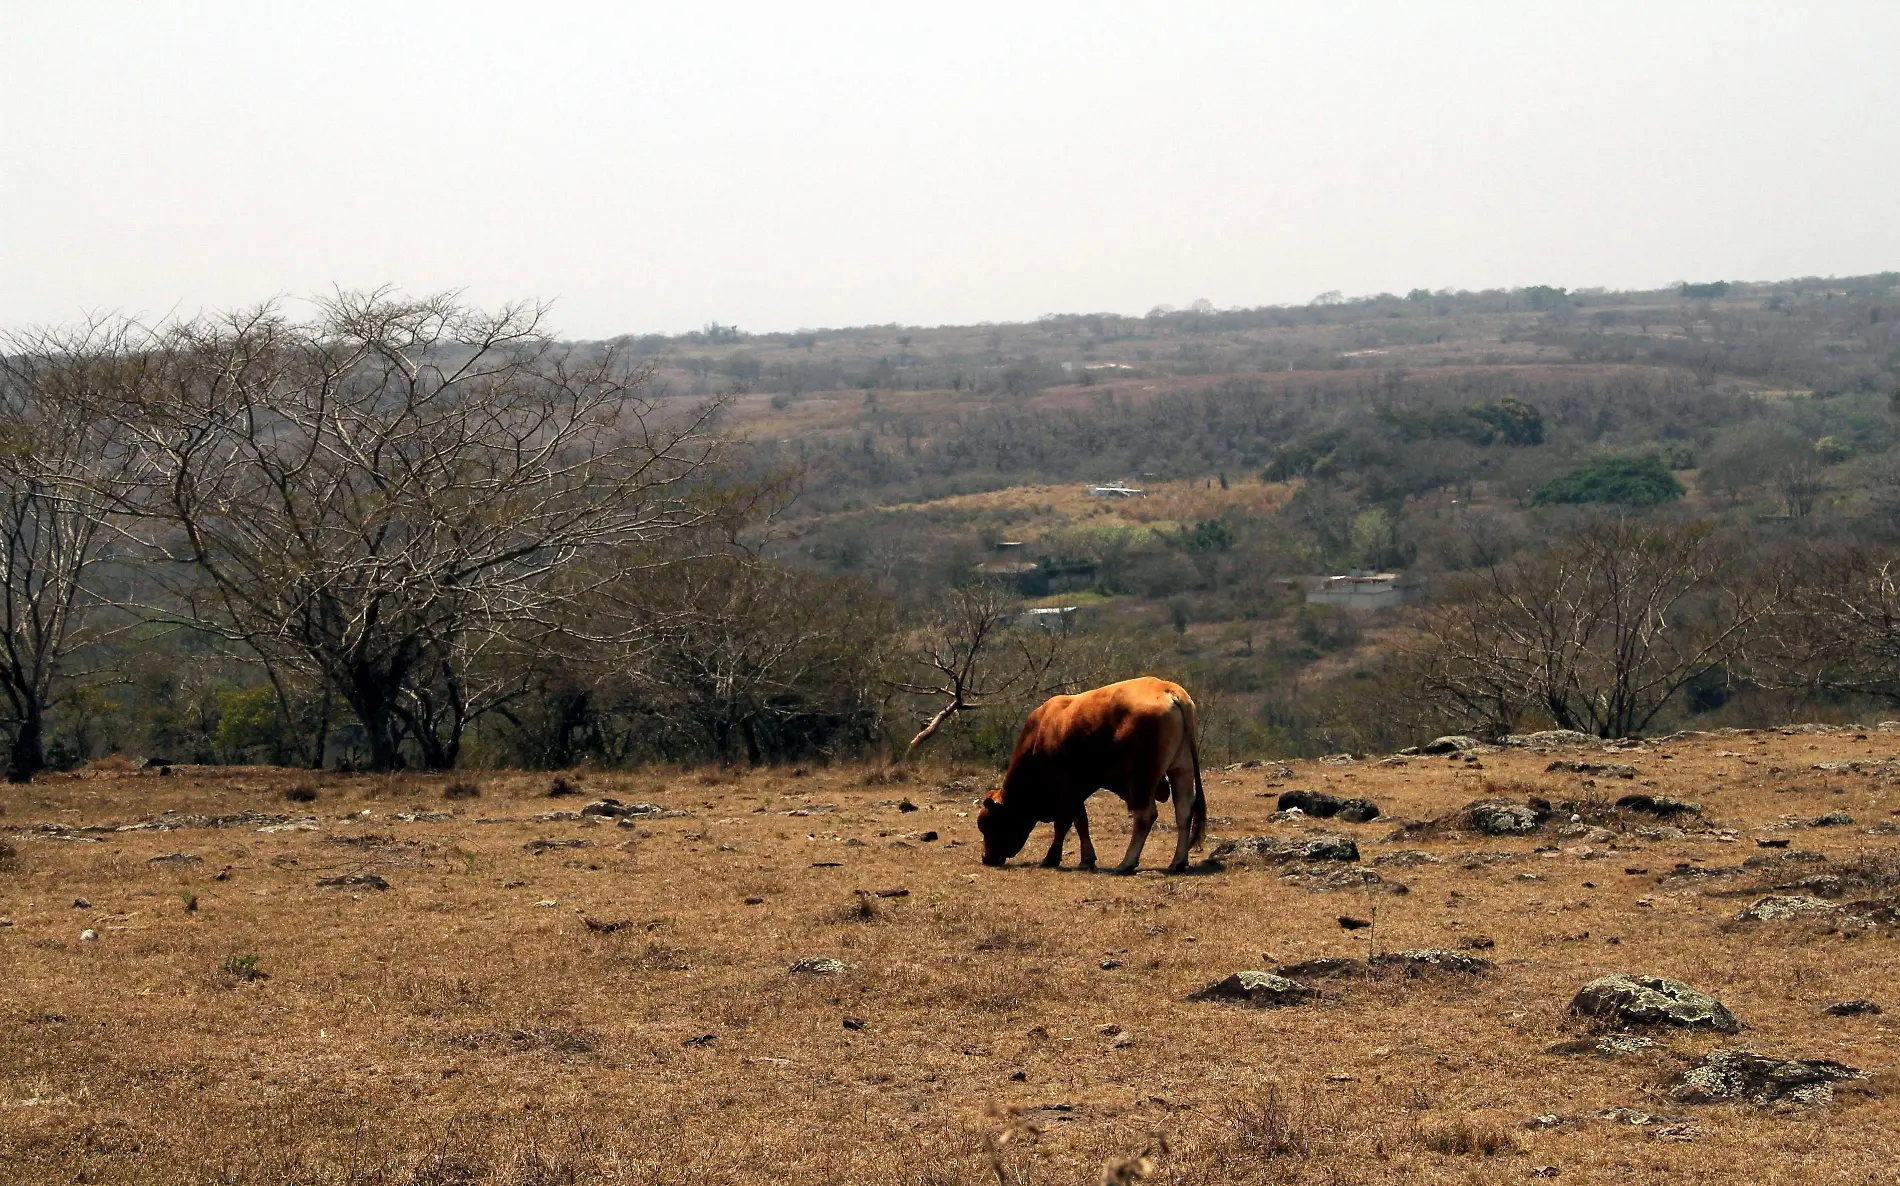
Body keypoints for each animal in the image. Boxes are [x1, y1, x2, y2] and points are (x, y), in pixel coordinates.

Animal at [980, 676, 1200, 870]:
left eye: (988, 824)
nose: (986, 858)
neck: (1041, 733)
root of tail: (1167, 689)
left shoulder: (1068, 788)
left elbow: (1074, 822)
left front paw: (1074, 858)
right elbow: (1070, 823)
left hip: (1142, 777)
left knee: (1145, 815)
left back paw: (1127, 863)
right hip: (1181, 769)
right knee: (1184, 811)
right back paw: (1178, 862)